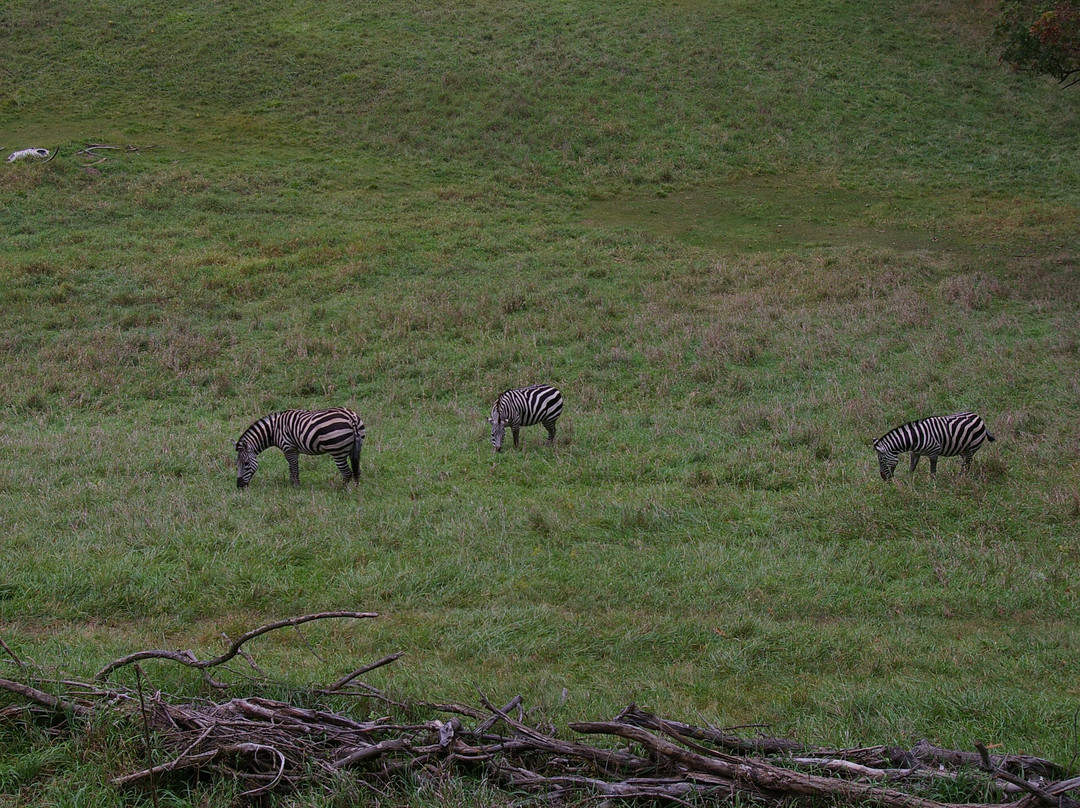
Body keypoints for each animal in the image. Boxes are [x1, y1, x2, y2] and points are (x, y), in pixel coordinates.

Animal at [234, 410, 365, 486]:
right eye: (236, 464)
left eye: (246, 463)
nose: (239, 486)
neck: (274, 430)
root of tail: (351, 417)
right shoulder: (293, 449)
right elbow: (291, 467)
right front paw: (292, 482)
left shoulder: (289, 448)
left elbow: (294, 467)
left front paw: (295, 485)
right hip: (355, 448)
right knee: (357, 471)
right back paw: (355, 489)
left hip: (337, 451)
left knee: (347, 473)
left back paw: (342, 490)